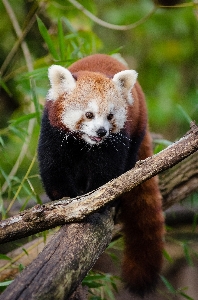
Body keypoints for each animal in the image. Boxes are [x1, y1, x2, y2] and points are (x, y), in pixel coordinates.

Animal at [38, 54, 165, 298]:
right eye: (89, 114)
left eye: (110, 116)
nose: (101, 131)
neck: (85, 143)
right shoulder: (53, 130)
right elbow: (54, 166)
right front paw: (66, 198)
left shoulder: (117, 139)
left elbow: (107, 173)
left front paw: (97, 201)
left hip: (137, 129)